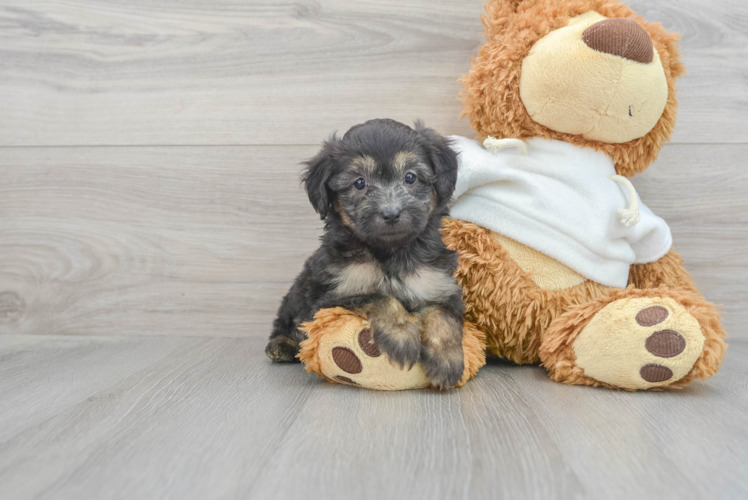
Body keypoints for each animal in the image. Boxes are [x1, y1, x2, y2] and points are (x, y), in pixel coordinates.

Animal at [266, 118, 464, 390]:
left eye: (410, 177)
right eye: (359, 182)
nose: (391, 213)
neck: (389, 252)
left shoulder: (438, 284)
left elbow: (443, 315)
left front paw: (447, 359)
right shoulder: (334, 297)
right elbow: (379, 297)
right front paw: (401, 336)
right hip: (299, 290)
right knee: (285, 321)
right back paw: (281, 345)